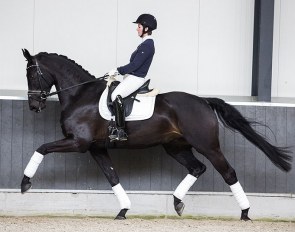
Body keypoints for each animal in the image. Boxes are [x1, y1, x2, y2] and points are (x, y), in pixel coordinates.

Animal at [21, 48, 294, 219]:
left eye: (32, 73)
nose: (34, 106)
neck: (80, 95)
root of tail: (203, 101)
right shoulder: (96, 147)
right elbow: (112, 177)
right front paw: (123, 211)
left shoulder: (78, 142)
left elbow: (41, 148)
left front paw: (25, 184)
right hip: (175, 146)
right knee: (197, 168)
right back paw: (177, 202)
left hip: (208, 146)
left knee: (228, 173)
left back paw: (245, 213)